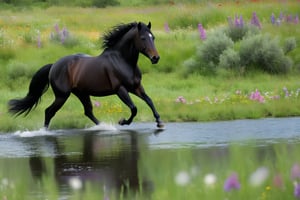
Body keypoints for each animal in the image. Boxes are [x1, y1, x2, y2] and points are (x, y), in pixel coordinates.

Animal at [8, 21, 164, 128]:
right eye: (143, 38)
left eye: (153, 37)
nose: (156, 58)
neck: (123, 61)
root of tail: (53, 66)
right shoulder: (121, 89)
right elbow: (134, 108)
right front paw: (122, 121)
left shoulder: (136, 87)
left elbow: (149, 100)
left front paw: (159, 122)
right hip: (62, 96)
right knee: (49, 112)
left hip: (81, 93)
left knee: (88, 111)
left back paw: (103, 127)